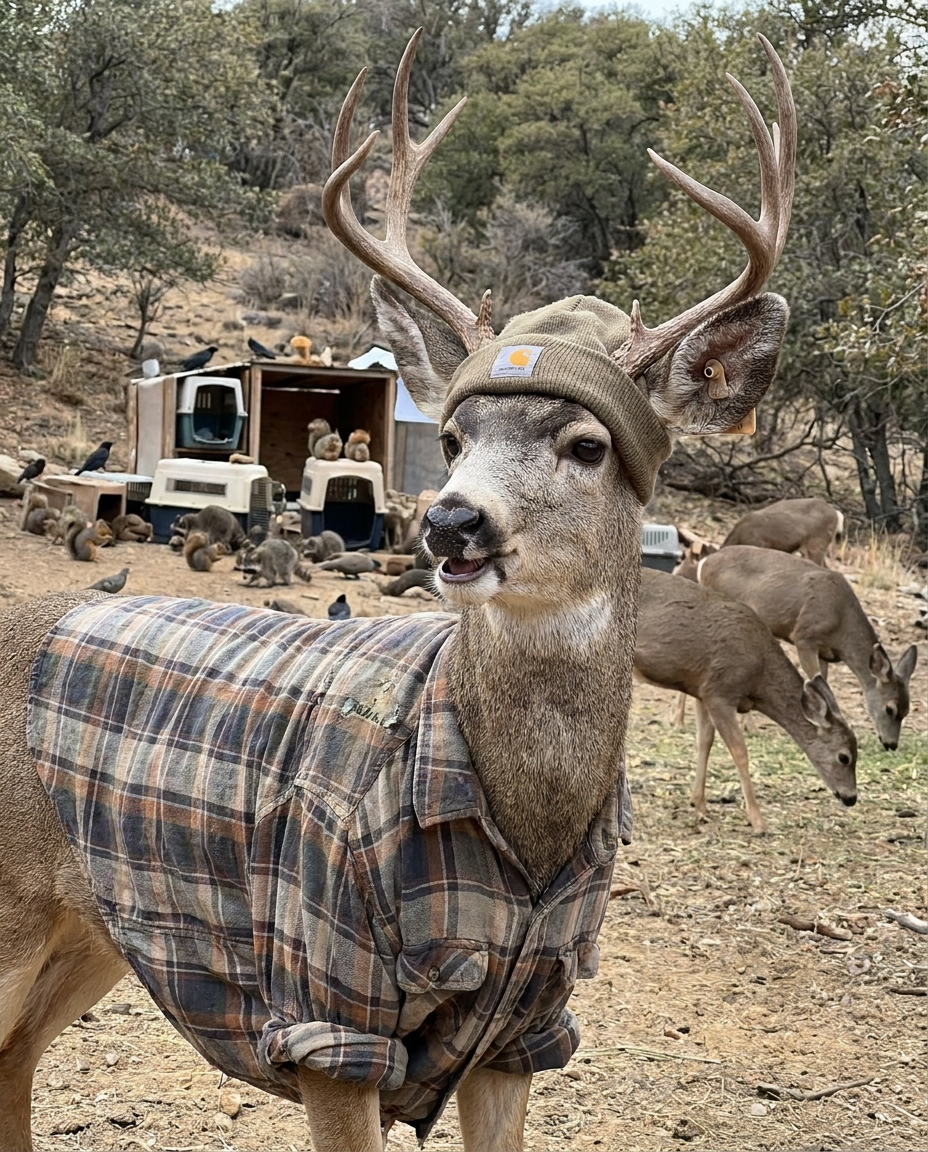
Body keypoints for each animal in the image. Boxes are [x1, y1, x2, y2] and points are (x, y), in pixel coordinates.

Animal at [0, 31, 796, 1152]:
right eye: (453, 436)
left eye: (588, 444)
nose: (452, 522)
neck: (526, 827)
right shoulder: (324, 1007)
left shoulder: (526, 1025)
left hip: (105, 924)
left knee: (14, 1061)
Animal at [635, 569, 857, 832]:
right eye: (844, 757)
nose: (851, 798)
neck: (759, 677)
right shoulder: (720, 692)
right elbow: (740, 752)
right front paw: (758, 820)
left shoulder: (702, 690)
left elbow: (704, 742)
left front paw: (699, 805)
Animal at [697, 545, 918, 751]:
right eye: (890, 709)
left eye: (907, 710)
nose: (891, 744)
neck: (841, 623)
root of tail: (704, 562)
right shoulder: (805, 637)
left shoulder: (825, 654)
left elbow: (824, 684)